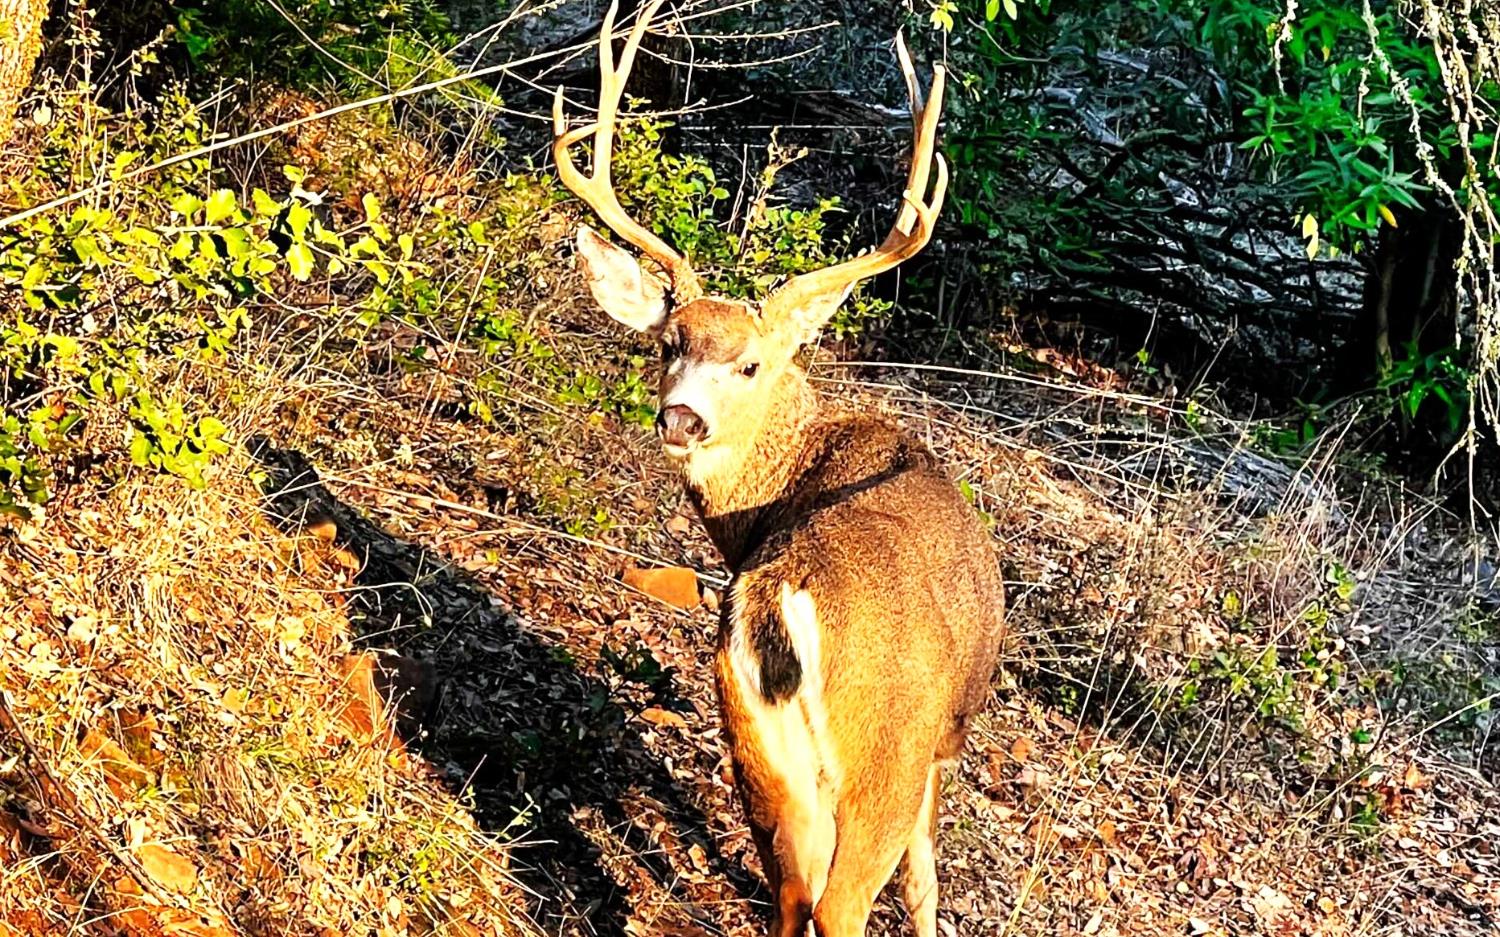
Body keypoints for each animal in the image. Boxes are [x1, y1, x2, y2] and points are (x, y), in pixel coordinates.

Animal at [553, 3, 1006, 935]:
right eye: (670, 341)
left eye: (749, 363)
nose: (681, 418)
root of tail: (781, 599)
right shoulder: (943, 737)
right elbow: (926, 876)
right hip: (880, 759)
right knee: (839, 902)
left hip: (756, 749)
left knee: (790, 895)